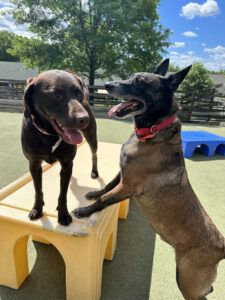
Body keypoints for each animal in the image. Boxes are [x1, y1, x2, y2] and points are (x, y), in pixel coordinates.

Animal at [21, 69, 97, 225]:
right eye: (55, 95)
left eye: (78, 93)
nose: (84, 119)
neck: (50, 135)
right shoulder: (34, 164)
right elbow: (38, 190)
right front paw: (37, 209)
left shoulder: (67, 163)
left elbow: (63, 193)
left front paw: (63, 214)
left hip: (91, 136)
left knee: (94, 154)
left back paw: (94, 172)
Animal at [74, 59, 225, 300]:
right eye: (131, 76)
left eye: (140, 82)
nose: (106, 85)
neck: (153, 133)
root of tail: (221, 246)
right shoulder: (122, 175)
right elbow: (107, 187)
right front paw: (93, 193)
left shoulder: (127, 186)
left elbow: (105, 199)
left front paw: (84, 211)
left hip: (187, 282)